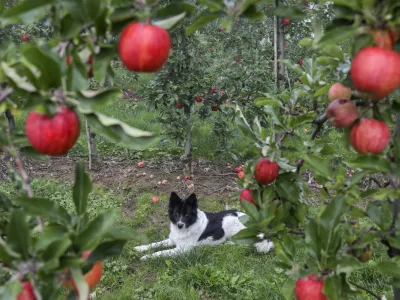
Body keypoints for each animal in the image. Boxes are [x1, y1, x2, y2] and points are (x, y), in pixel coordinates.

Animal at [134, 192, 276, 260]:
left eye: (186, 215)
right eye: (176, 214)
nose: (180, 225)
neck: (187, 227)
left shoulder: (182, 249)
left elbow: (161, 252)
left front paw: (147, 257)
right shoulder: (172, 240)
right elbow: (155, 244)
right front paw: (140, 248)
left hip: (230, 223)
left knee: (246, 243)